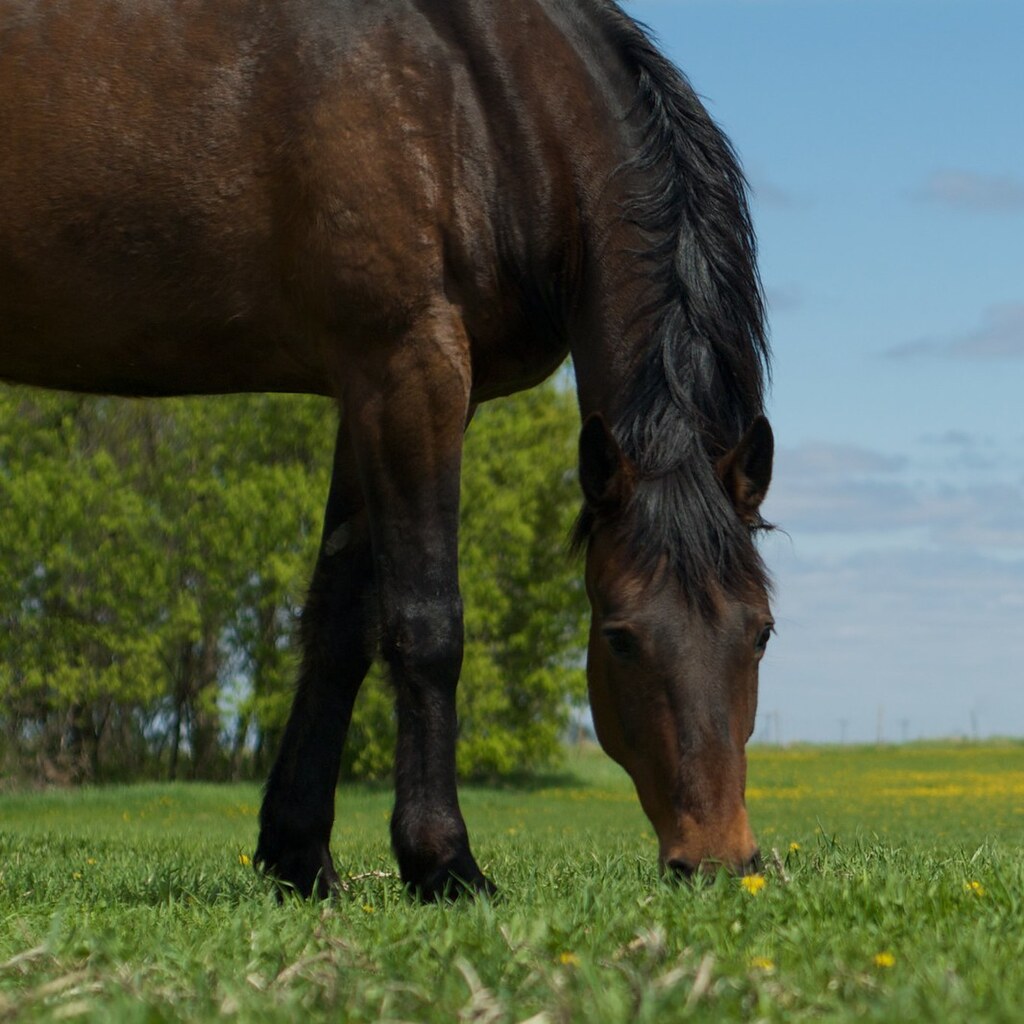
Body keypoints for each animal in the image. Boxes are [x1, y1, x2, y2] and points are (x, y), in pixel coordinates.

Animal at [0, 0, 775, 899]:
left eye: (761, 632)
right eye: (618, 635)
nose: (717, 861)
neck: (482, 99)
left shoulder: (375, 390)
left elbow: (342, 622)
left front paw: (300, 855)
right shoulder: (412, 367)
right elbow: (427, 623)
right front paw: (443, 862)